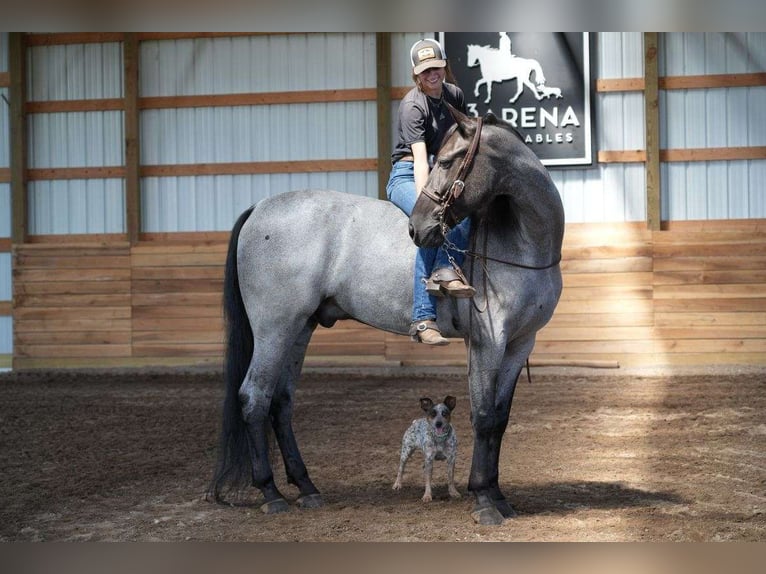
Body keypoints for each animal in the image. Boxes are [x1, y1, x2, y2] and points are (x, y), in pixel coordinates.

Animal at [207, 103, 568, 528]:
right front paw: (483, 499)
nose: (417, 228)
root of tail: (259, 208)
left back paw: (307, 488)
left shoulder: (519, 343)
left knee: (280, 402)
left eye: (449, 160)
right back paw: (270, 492)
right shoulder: (488, 341)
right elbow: (482, 416)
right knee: (254, 397)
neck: (521, 240)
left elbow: (500, 417)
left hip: (299, 328)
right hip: (273, 328)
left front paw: (498, 496)